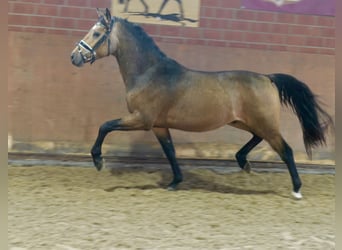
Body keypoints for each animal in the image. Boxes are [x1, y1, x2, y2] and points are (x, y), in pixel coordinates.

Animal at [70, 8, 334, 199]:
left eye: (96, 34)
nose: (73, 57)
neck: (149, 73)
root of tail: (267, 78)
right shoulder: (159, 125)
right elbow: (170, 151)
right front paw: (175, 182)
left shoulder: (141, 119)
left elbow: (105, 126)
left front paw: (98, 160)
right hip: (245, 121)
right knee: (258, 139)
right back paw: (243, 162)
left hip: (264, 123)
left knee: (285, 150)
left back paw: (296, 189)